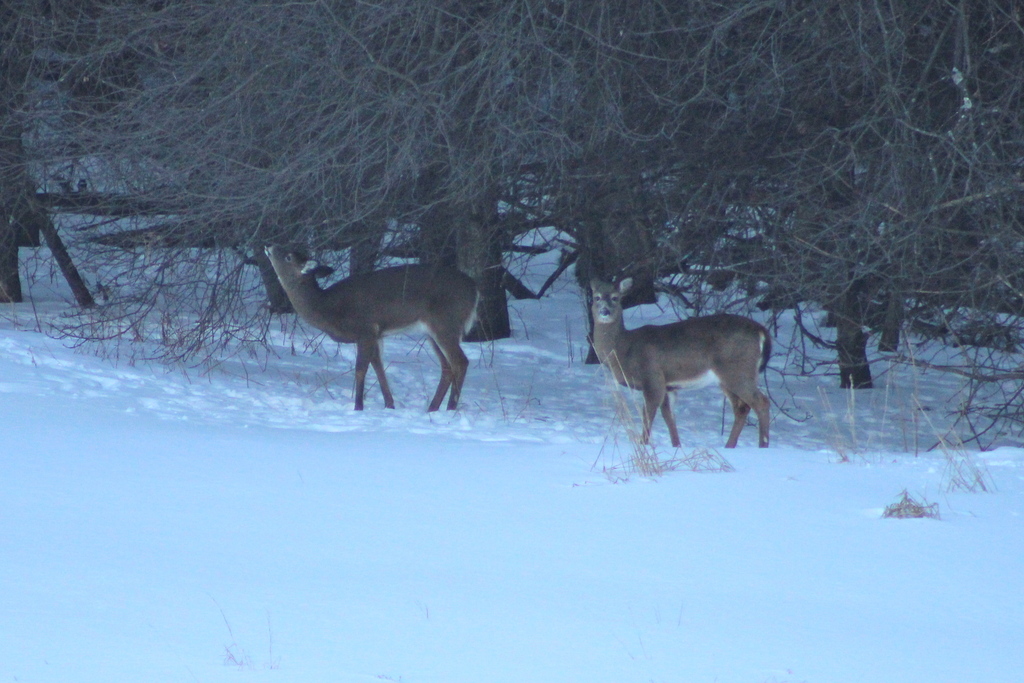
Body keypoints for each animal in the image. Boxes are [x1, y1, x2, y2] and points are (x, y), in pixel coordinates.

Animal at [268, 245, 483, 411]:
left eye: (288, 256)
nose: (269, 246)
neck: (327, 308)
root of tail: (475, 288)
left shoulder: (366, 329)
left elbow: (361, 369)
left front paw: (358, 407)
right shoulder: (377, 334)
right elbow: (379, 367)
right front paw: (389, 405)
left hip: (446, 322)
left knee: (460, 362)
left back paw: (450, 409)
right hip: (432, 331)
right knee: (447, 366)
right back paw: (432, 409)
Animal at [589, 278, 770, 448]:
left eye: (615, 297)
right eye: (596, 297)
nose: (604, 311)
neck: (624, 349)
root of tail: (761, 330)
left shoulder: (652, 377)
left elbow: (648, 417)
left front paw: (643, 445)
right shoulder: (668, 386)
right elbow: (669, 417)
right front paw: (676, 446)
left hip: (737, 370)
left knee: (761, 402)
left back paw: (762, 445)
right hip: (728, 378)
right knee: (742, 407)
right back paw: (729, 446)